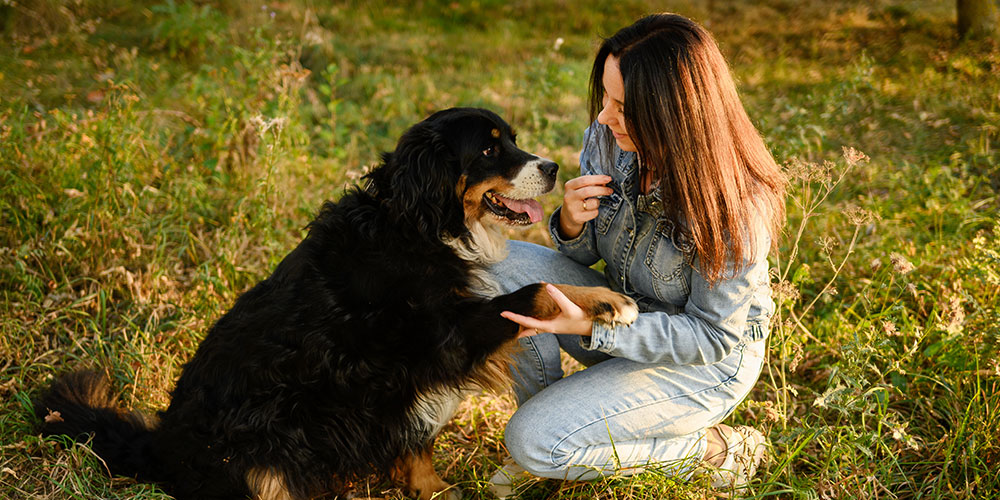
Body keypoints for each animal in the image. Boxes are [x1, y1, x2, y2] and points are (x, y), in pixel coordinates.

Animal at [34, 107, 638, 500]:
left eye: (511, 139)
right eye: (489, 149)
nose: (555, 168)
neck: (416, 225)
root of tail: (161, 447)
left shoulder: (408, 376)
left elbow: (415, 440)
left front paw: (432, 489)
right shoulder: (444, 336)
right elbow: (537, 292)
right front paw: (609, 300)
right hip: (264, 443)